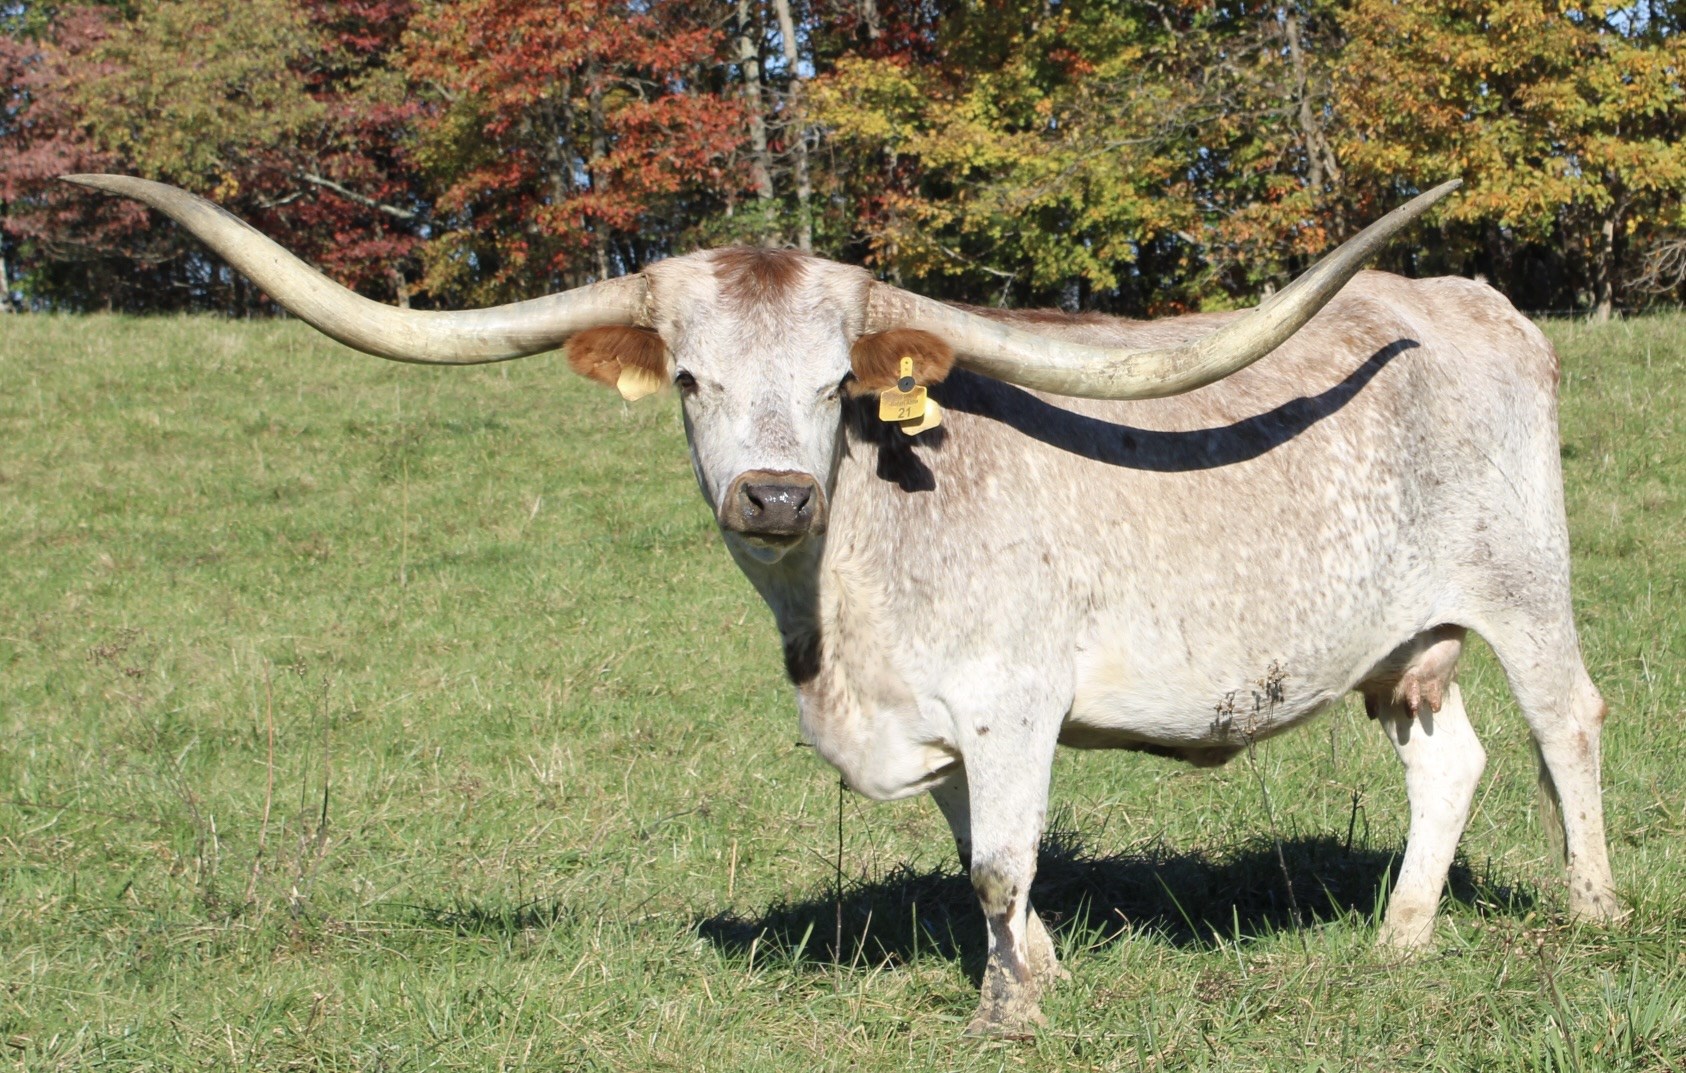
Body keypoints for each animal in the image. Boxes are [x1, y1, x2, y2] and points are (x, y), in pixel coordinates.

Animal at [65, 174, 1621, 1037]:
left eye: (832, 385)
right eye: (692, 379)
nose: (769, 494)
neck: (845, 612)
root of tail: (1474, 300)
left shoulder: (1014, 704)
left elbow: (1000, 865)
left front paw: (1004, 1013)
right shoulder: (937, 728)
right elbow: (983, 866)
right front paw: (1040, 978)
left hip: (1524, 591)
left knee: (1565, 730)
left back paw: (1596, 918)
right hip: (1399, 644)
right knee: (1451, 761)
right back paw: (1399, 939)